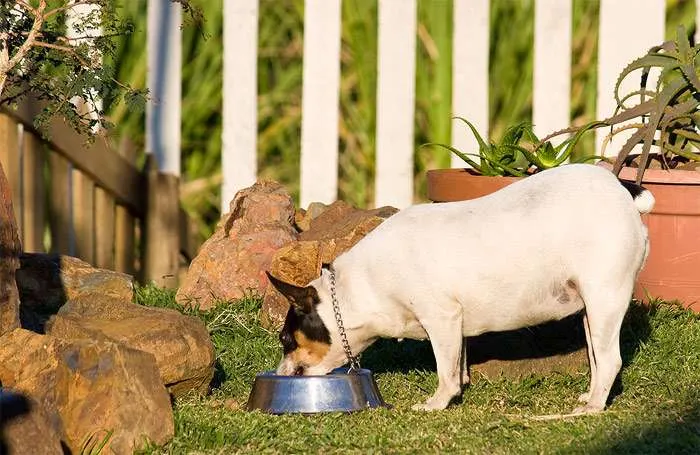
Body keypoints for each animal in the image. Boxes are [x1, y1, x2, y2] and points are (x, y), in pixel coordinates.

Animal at [266, 164, 652, 414]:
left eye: (286, 340)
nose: (281, 373)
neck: (359, 288)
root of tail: (620, 188)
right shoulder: (456, 326)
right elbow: (458, 365)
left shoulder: (441, 318)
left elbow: (445, 373)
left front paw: (437, 404)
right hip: (590, 311)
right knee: (598, 360)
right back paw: (591, 397)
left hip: (604, 299)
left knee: (611, 360)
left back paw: (591, 409)